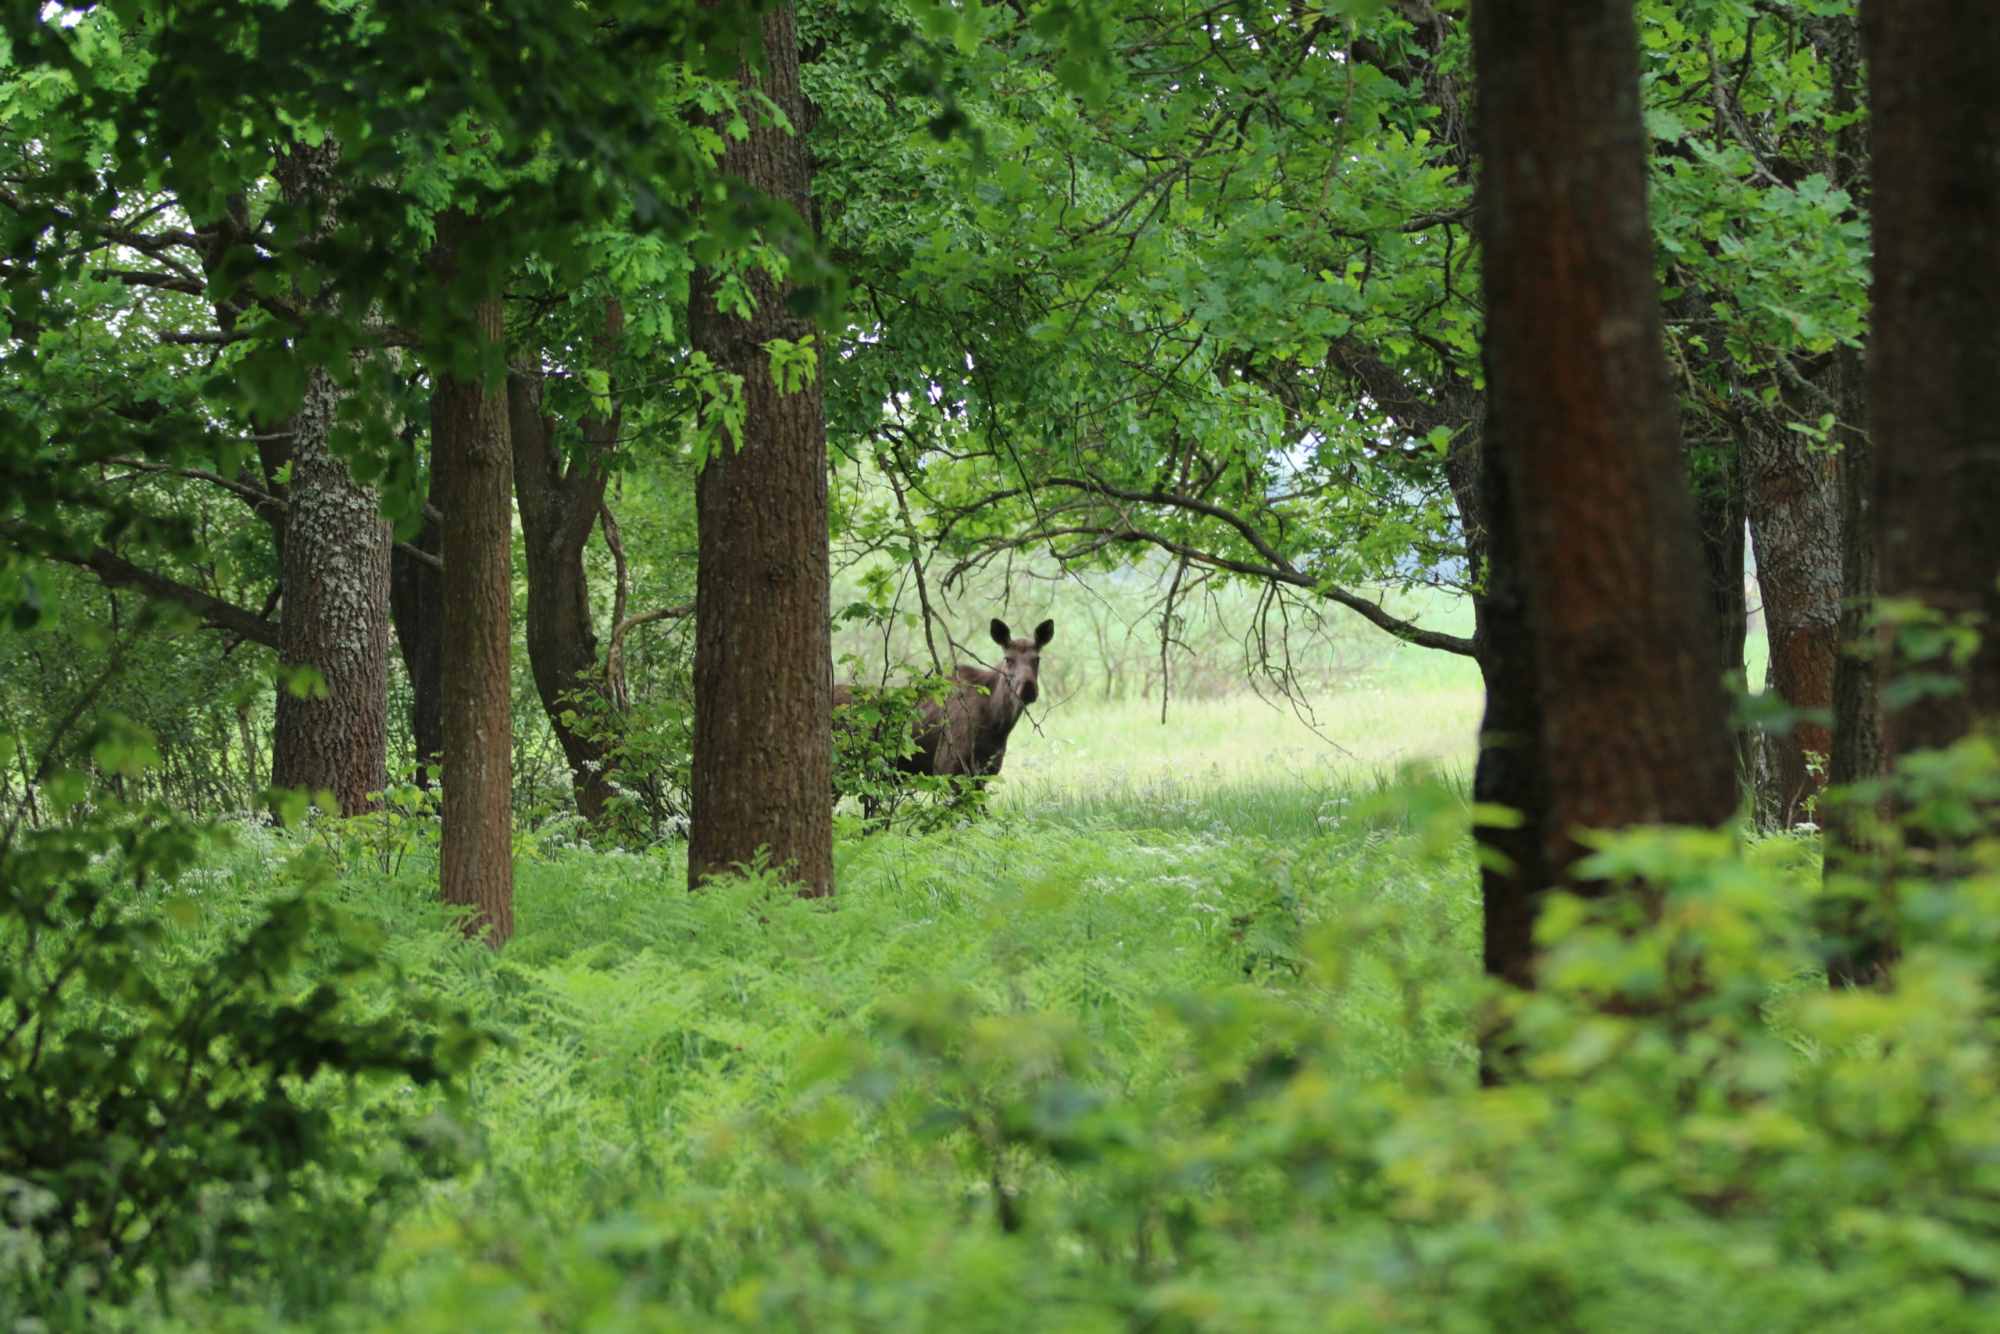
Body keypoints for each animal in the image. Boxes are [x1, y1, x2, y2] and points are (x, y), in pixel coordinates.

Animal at [832, 620, 1056, 800]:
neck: (997, 724)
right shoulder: (947, 767)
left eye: (1037, 659)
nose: (1028, 689)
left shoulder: (984, 773)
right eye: (1008, 659)